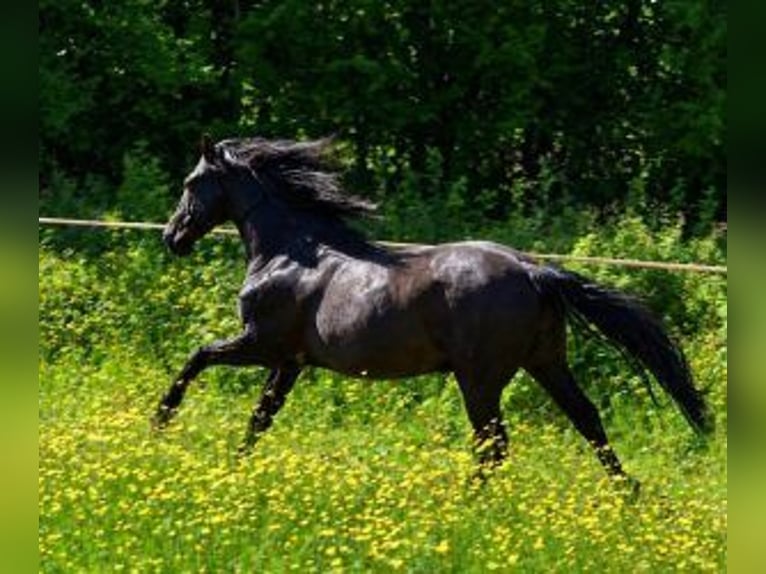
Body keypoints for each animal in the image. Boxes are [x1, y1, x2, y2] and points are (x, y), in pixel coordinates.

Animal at [153, 135, 713, 487]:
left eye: (190, 183)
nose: (172, 238)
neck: (289, 252)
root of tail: (532, 271)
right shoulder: (289, 361)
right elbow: (260, 417)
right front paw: (237, 467)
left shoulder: (261, 342)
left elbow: (197, 357)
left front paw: (161, 421)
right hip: (545, 362)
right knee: (586, 419)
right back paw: (628, 494)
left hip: (480, 378)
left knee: (495, 444)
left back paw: (466, 502)